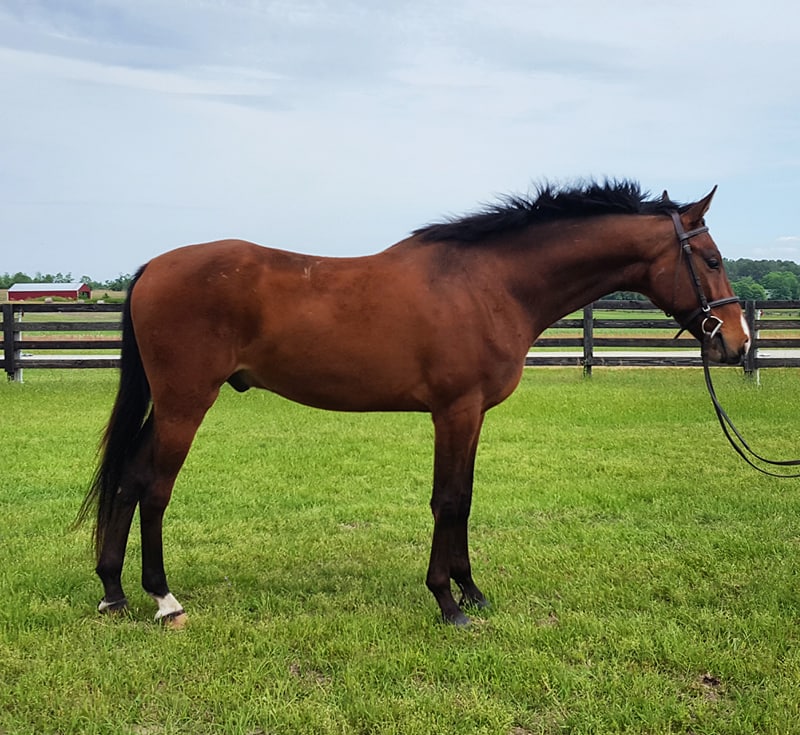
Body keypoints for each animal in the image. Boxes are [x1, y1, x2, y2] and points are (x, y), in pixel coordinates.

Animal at [75, 183, 752, 628]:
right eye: (712, 259)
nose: (737, 343)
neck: (490, 284)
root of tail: (152, 268)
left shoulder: (473, 415)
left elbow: (466, 498)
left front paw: (473, 591)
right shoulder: (454, 411)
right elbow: (447, 499)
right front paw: (448, 603)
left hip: (169, 406)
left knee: (128, 481)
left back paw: (114, 592)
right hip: (186, 403)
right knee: (155, 489)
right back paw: (163, 599)